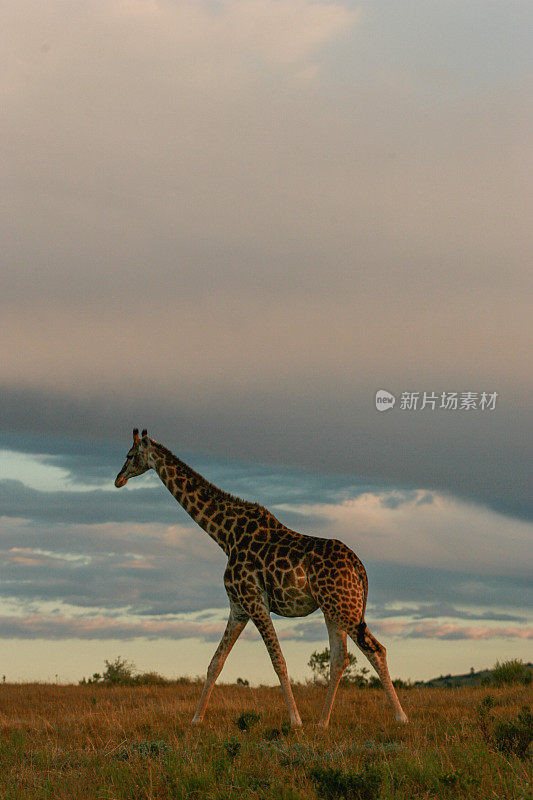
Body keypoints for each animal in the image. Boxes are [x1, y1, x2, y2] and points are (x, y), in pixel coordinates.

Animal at [113, 428, 408, 728]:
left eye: (129, 455)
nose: (118, 479)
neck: (225, 535)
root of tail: (361, 568)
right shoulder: (238, 607)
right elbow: (215, 662)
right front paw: (196, 720)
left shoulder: (255, 602)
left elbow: (278, 660)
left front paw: (295, 720)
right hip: (333, 609)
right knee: (340, 658)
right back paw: (322, 723)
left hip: (344, 607)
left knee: (376, 649)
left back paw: (401, 717)